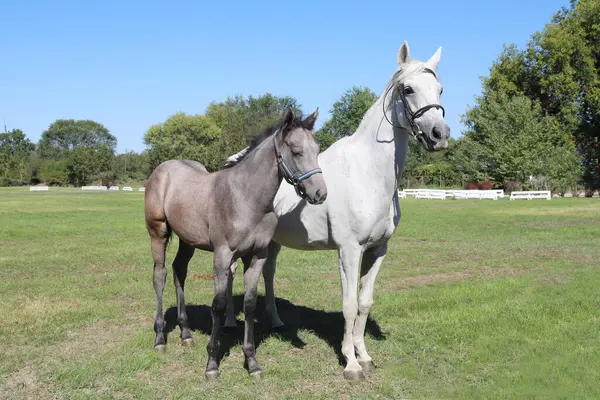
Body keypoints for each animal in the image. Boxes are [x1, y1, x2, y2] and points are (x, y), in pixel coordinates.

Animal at [223, 41, 448, 382]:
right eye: (408, 89)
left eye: (440, 89)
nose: (439, 134)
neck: (368, 173)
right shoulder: (349, 251)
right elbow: (349, 304)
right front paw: (351, 364)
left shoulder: (378, 250)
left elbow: (365, 303)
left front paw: (364, 356)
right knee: (232, 272)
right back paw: (227, 322)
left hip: (272, 243)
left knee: (269, 274)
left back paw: (276, 321)